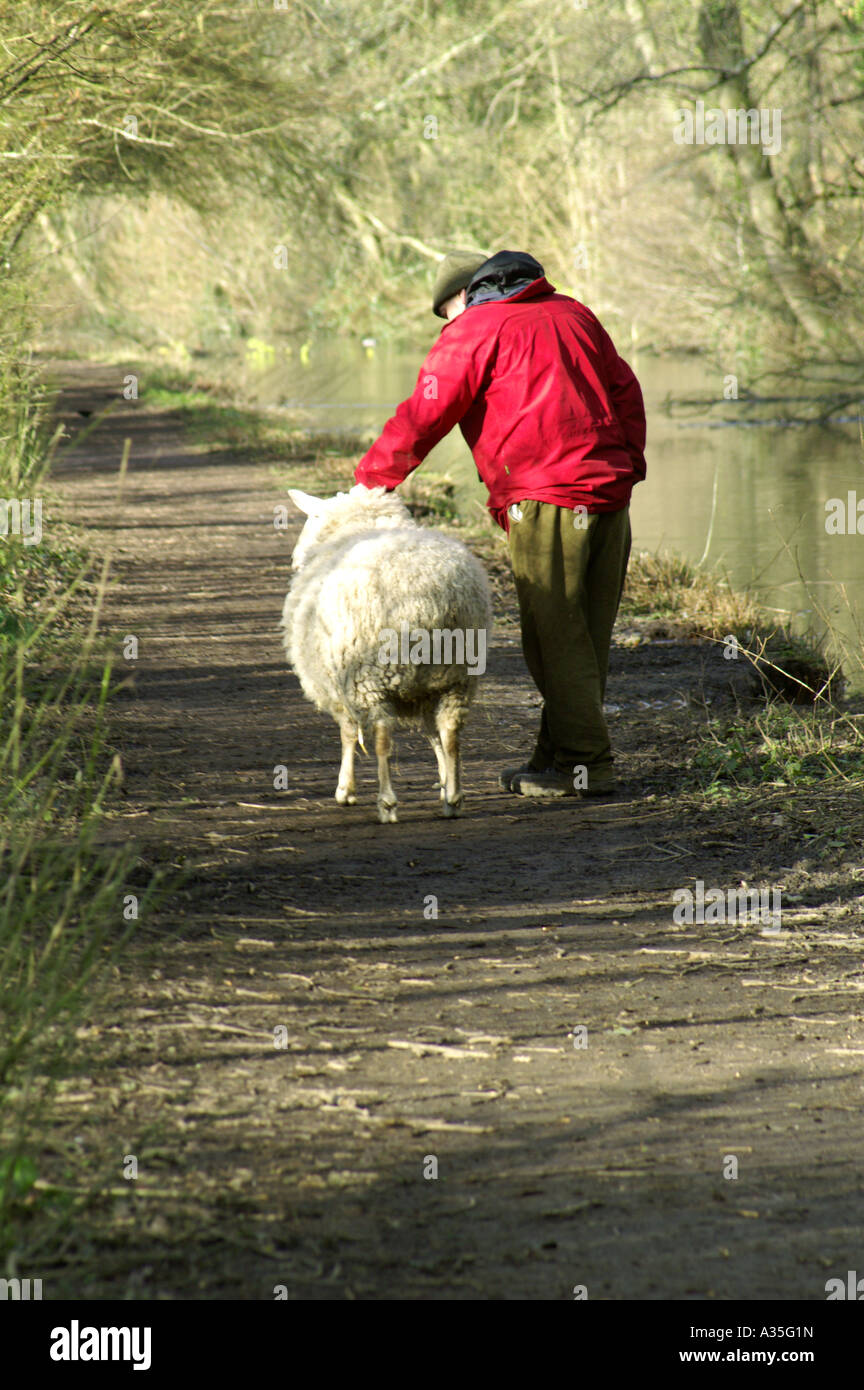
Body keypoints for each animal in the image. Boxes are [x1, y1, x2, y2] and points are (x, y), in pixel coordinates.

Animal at [280, 483, 491, 817]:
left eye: (313, 516)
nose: (294, 559)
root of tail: (430, 599)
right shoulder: (427, 690)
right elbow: (433, 735)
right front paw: (444, 782)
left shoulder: (337, 684)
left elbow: (348, 732)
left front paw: (345, 790)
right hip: (456, 675)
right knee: (450, 730)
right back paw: (454, 798)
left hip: (369, 676)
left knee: (381, 734)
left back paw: (387, 801)